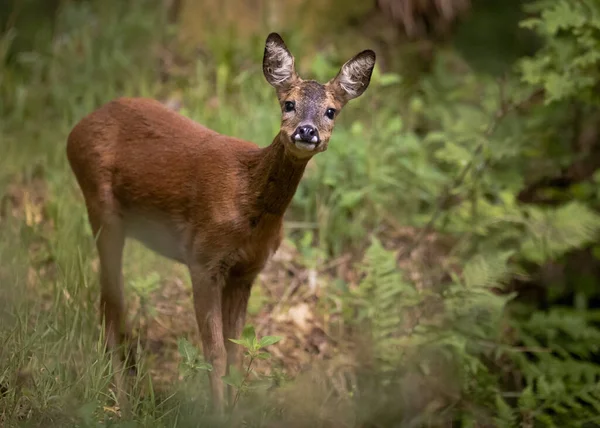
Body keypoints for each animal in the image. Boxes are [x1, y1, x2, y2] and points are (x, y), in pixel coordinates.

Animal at [65, 31, 376, 412]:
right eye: (288, 104)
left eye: (331, 111)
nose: (307, 131)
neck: (250, 209)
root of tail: (75, 130)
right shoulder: (202, 259)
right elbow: (214, 353)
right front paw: (216, 412)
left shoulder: (247, 271)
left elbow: (236, 349)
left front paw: (235, 410)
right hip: (100, 206)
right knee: (111, 301)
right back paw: (121, 395)